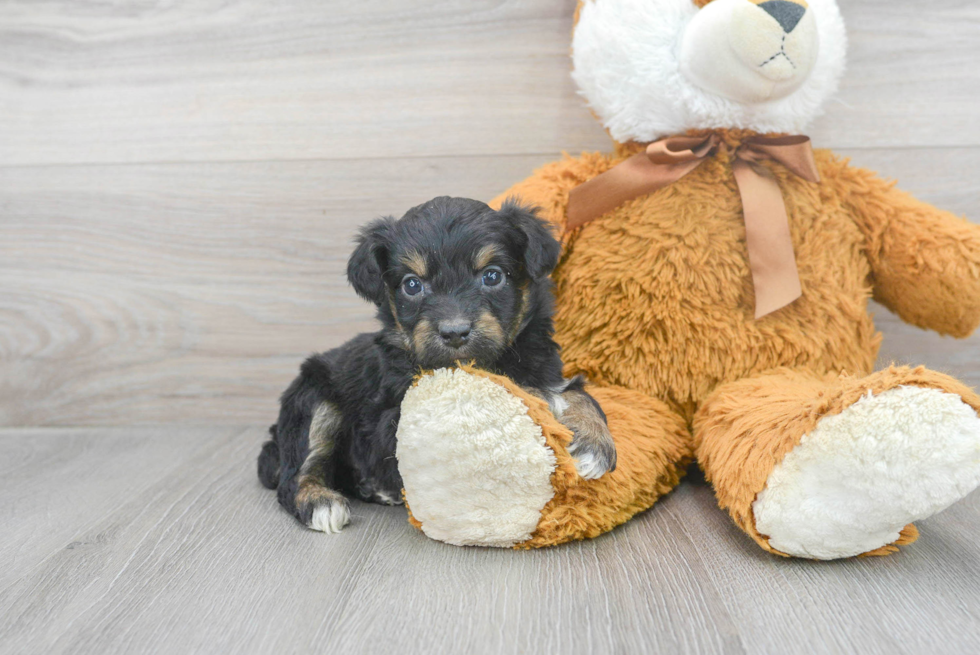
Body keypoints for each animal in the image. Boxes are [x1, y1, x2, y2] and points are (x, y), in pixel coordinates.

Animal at [256, 196, 616, 532]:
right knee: (296, 473)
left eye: (492, 276)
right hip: (313, 400)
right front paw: (541, 403)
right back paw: (320, 502)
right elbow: (518, 392)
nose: (455, 332)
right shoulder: (396, 415)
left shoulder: (547, 369)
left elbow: (578, 393)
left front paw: (593, 442)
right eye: (412, 285)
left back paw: (374, 488)